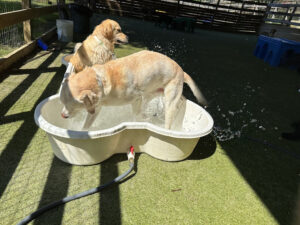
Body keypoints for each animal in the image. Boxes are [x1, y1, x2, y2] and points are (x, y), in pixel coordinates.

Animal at [58, 50, 206, 129]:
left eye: (75, 105)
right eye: (62, 102)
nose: (63, 115)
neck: (101, 80)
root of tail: (181, 70)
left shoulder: (136, 99)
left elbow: (136, 114)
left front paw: (138, 122)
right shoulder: (96, 108)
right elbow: (87, 125)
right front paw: (82, 132)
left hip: (168, 99)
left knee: (170, 116)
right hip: (151, 93)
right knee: (182, 99)